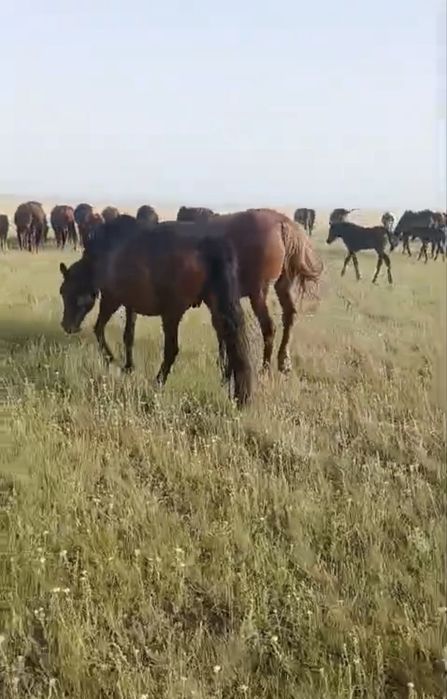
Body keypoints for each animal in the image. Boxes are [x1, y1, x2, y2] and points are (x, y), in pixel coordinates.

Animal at [59, 215, 253, 405]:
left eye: (66, 291)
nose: (67, 326)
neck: (105, 252)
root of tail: (210, 244)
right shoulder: (131, 303)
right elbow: (128, 336)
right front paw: (128, 366)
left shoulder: (111, 299)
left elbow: (98, 329)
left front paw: (112, 360)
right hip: (215, 304)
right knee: (229, 337)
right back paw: (231, 385)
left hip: (172, 313)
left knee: (172, 349)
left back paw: (158, 383)